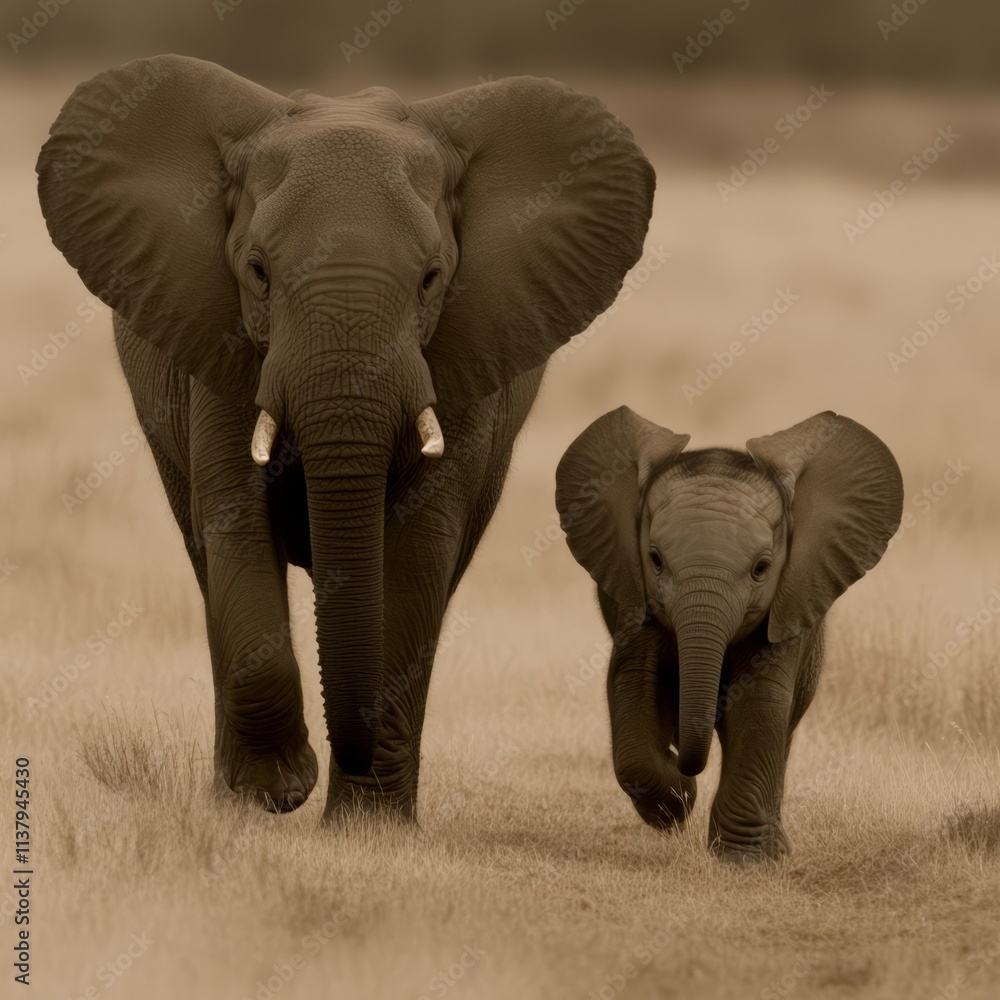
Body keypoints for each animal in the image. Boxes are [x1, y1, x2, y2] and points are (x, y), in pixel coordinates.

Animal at [37, 55, 655, 819]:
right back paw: (232, 797)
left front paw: (367, 825)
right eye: (259, 272)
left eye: (431, 279)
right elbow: (236, 523)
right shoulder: (221, 343)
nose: (336, 759)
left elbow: (419, 550)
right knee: (205, 558)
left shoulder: (461, 360)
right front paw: (276, 790)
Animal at [555, 408, 903, 860]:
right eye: (655, 560)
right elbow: (632, 681)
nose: (682, 762)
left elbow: (761, 700)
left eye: (761, 568)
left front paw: (746, 860)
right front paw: (677, 804)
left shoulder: (788, 602)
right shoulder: (632, 594)